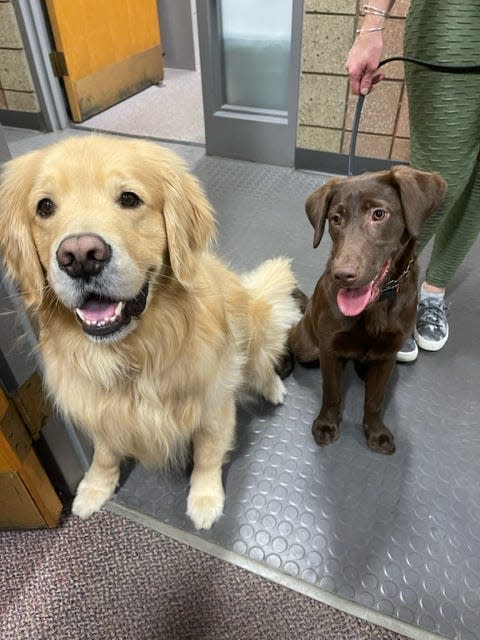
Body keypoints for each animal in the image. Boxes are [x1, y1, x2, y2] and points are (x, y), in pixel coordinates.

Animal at [290, 168, 448, 452]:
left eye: (379, 214)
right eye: (335, 218)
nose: (343, 275)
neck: (376, 305)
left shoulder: (388, 354)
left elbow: (375, 400)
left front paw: (375, 433)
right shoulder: (329, 348)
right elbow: (331, 392)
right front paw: (327, 425)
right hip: (307, 345)